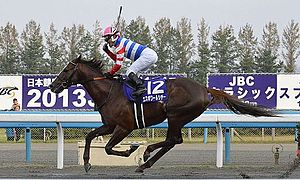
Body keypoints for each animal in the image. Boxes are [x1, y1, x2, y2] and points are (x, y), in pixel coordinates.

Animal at [49, 56, 276, 173]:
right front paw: (87, 163)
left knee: (173, 140)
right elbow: (90, 137)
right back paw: (145, 162)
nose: (52, 86)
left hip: (175, 115)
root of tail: (204, 89)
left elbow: (108, 148)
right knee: (173, 141)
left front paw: (132, 149)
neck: (109, 92)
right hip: (177, 118)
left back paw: (146, 155)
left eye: (67, 69)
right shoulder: (110, 125)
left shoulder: (124, 127)